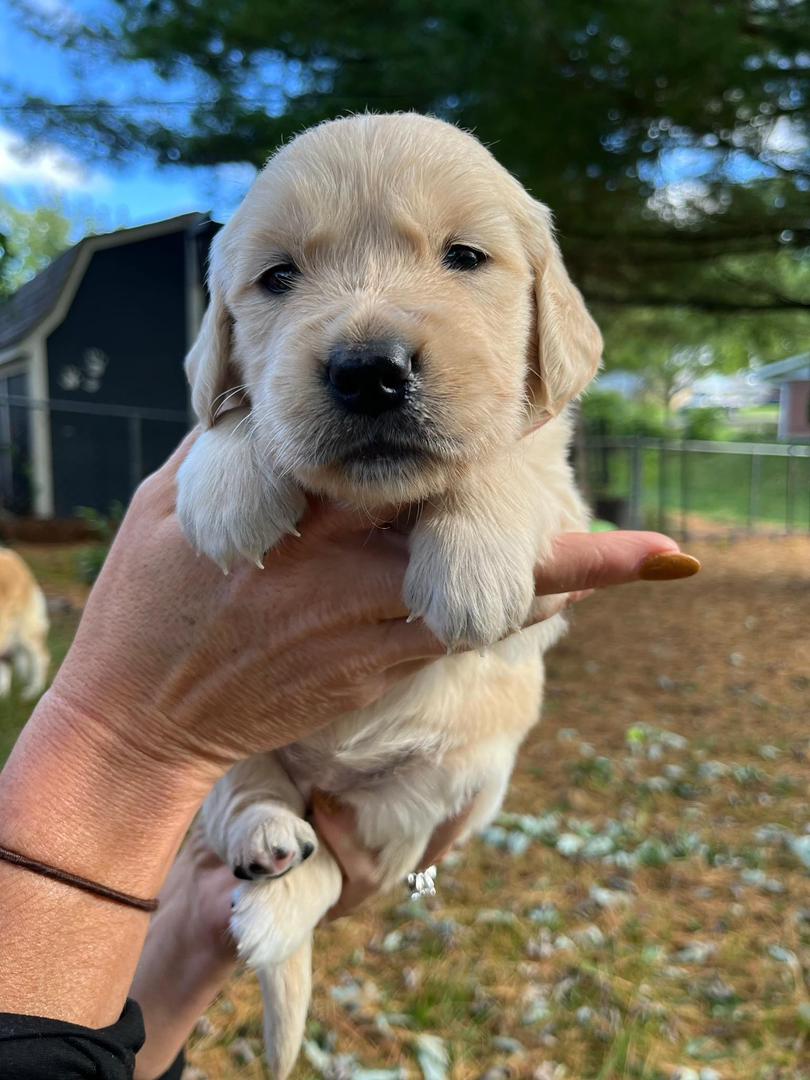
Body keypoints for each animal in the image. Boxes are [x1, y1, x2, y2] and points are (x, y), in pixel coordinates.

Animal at [176, 113, 604, 1075]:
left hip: (442, 782)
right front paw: (227, 484)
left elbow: (508, 455)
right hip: (227, 747)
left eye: (466, 257)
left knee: (340, 860)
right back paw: (267, 843)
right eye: (278, 277)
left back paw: (277, 898)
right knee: (241, 793)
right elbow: (235, 408)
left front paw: (472, 561)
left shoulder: (566, 499)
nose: (370, 370)